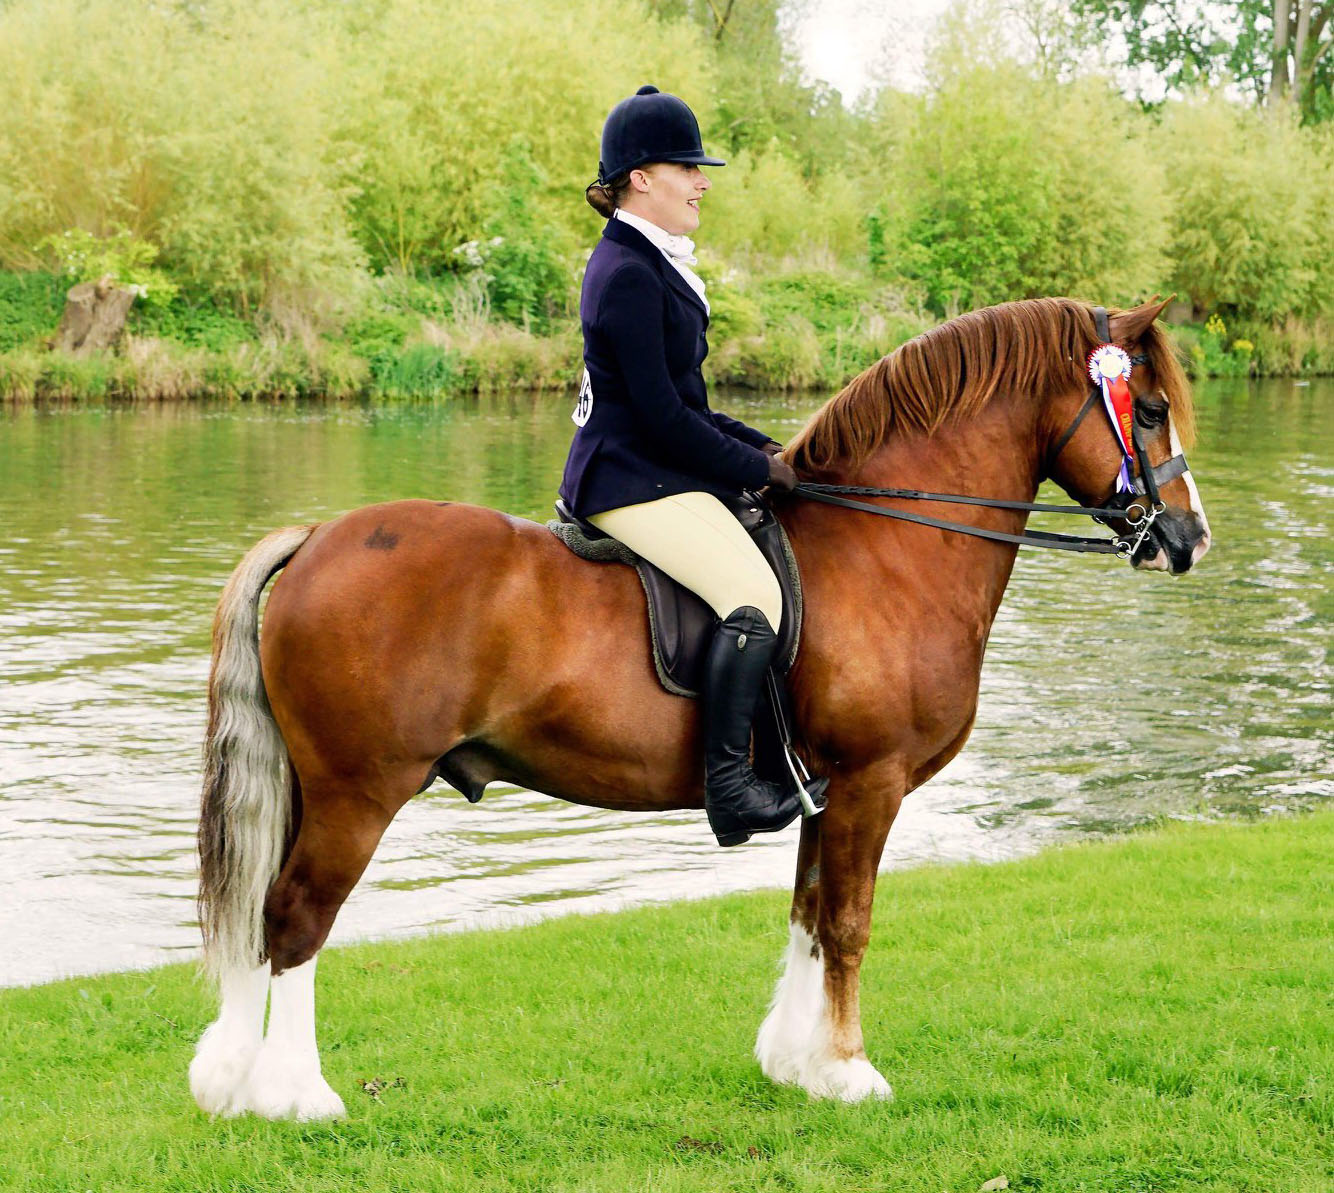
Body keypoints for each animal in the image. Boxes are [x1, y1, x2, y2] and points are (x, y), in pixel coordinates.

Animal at [190, 296, 1211, 1120]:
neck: (885, 544)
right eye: (1152, 409)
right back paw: (296, 1096)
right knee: (297, 917)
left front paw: (798, 1065)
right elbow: (850, 921)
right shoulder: (871, 781)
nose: (1187, 539)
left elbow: (808, 911)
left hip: (315, 789)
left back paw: (231, 1083)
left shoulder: (824, 789)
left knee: (261, 915)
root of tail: (319, 536)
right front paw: (851, 1071)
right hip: (359, 792)